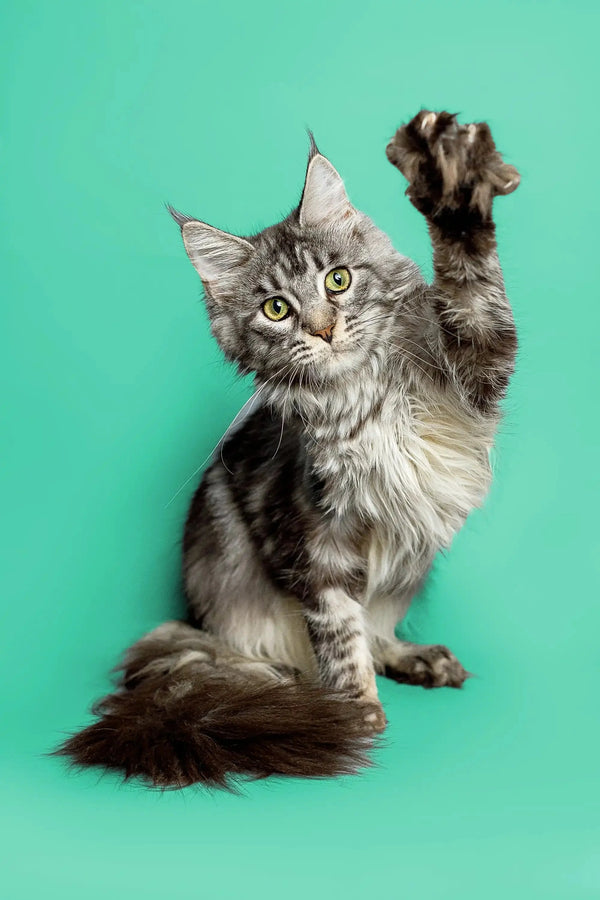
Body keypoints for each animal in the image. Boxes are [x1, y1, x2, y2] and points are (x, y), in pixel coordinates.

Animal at [58, 110, 524, 788]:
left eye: (339, 279)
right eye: (277, 309)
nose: (325, 330)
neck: (361, 396)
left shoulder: (474, 377)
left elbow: (472, 284)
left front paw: (455, 189)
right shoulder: (310, 534)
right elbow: (337, 628)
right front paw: (353, 714)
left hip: (411, 559)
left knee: (378, 626)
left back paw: (416, 659)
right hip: (227, 609)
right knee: (229, 659)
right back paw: (277, 686)